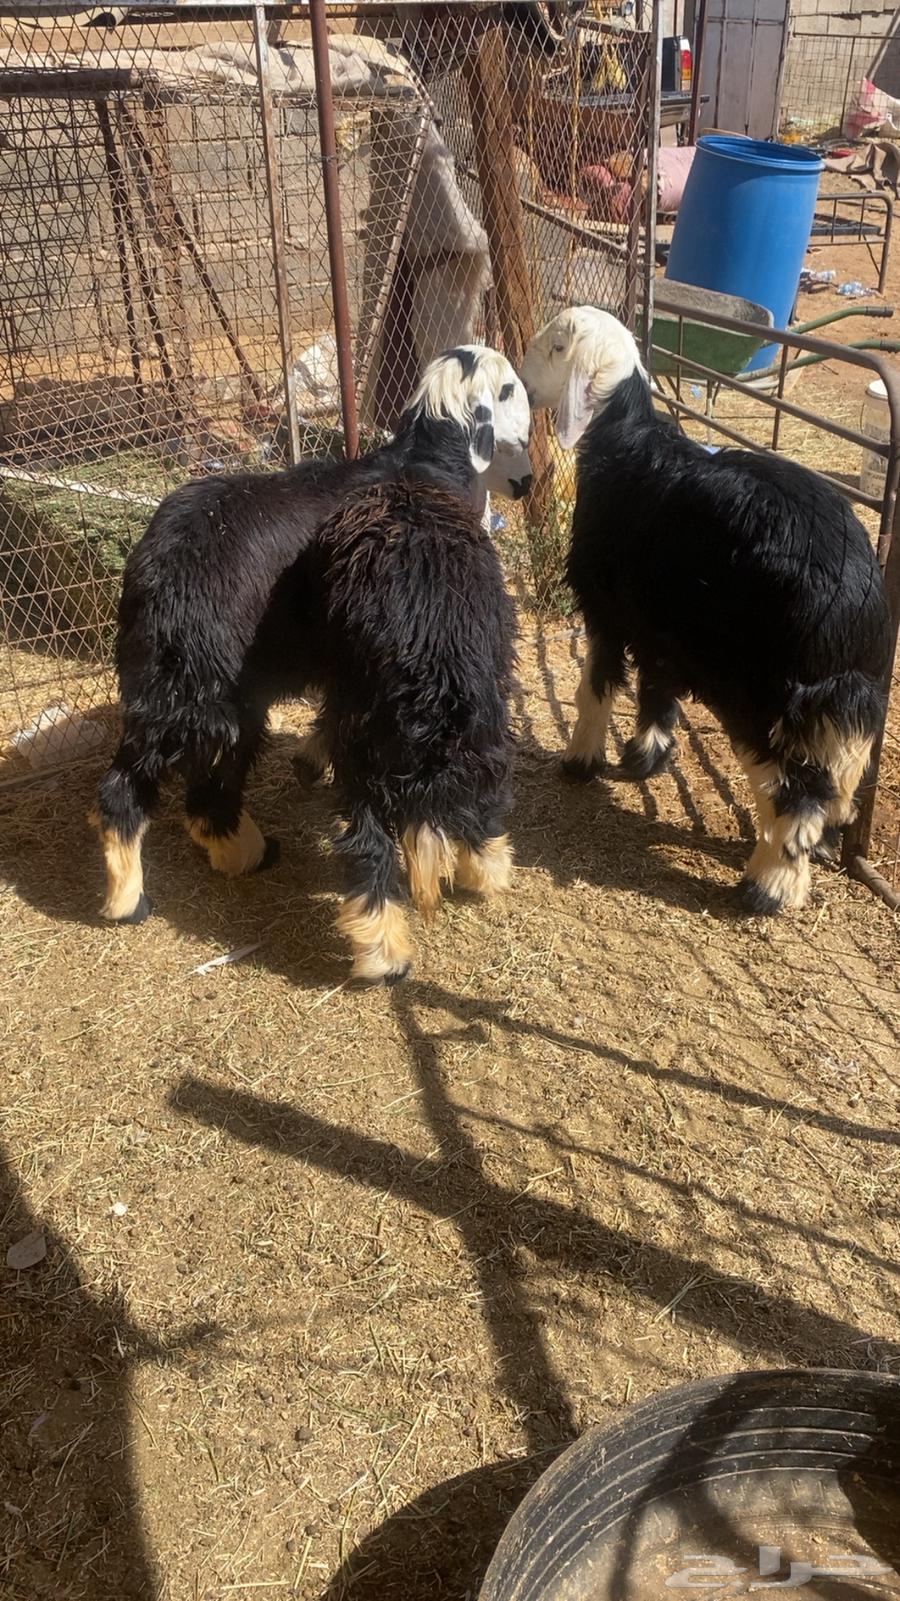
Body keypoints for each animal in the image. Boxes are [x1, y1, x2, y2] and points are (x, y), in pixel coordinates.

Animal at [92, 345, 531, 943]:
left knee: (126, 789)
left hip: (161, 685)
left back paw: (130, 898)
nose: (527, 482)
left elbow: (333, 720)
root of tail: (169, 577)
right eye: (512, 391)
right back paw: (248, 854)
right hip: (227, 692)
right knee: (209, 787)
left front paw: (310, 759)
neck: (432, 459)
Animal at [520, 306, 892, 914]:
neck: (624, 439)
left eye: (554, 347)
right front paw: (645, 757)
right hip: (848, 699)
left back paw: (769, 887)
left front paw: (580, 762)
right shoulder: (663, 617)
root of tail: (849, 607)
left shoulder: (607, 605)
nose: (523, 387)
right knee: (833, 784)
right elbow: (656, 685)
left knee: (792, 788)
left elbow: (595, 685)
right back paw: (817, 847)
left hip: (757, 688)